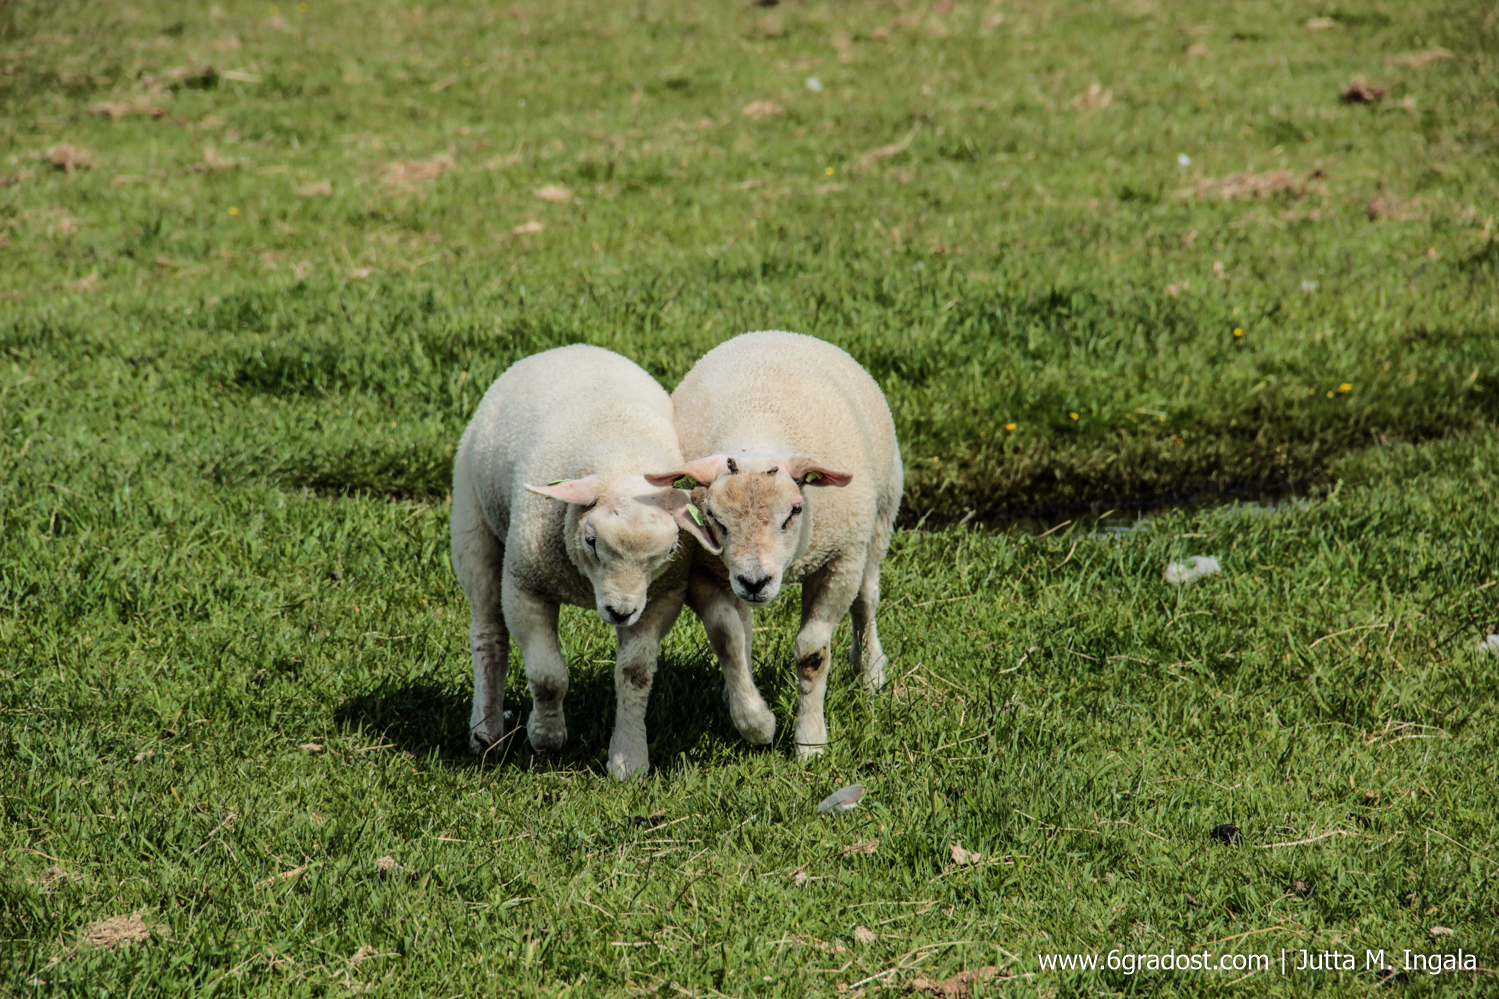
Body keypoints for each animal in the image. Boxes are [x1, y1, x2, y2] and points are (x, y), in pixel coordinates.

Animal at [450, 344, 719, 779]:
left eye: (668, 553)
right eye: (591, 541)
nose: (619, 612)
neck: (620, 454)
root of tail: (567, 348)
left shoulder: (660, 597)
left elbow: (635, 673)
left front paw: (628, 760)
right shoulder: (525, 586)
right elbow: (547, 676)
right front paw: (546, 737)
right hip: (473, 525)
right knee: (488, 634)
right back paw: (486, 732)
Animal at [647, 330, 902, 759]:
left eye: (795, 510)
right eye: (712, 516)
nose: (755, 582)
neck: (757, 433)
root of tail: (773, 333)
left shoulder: (838, 562)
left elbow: (813, 654)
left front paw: (810, 743)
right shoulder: (703, 570)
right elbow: (728, 640)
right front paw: (756, 724)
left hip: (878, 518)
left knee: (867, 598)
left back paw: (870, 670)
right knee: (745, 624)